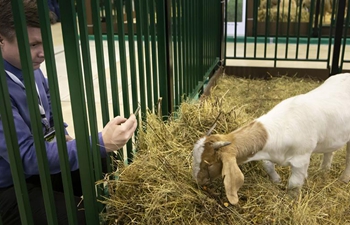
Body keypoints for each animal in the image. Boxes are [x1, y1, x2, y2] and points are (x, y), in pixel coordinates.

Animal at [193, 73, 350, 206]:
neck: (284, 125)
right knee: (330, 151)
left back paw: (343, 179)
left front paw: (290, 201)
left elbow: (294, 183)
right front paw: (277, 180)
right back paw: (323, 172)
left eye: (209, 164)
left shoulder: (301, 159)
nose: (196, 180)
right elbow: (267, 165)